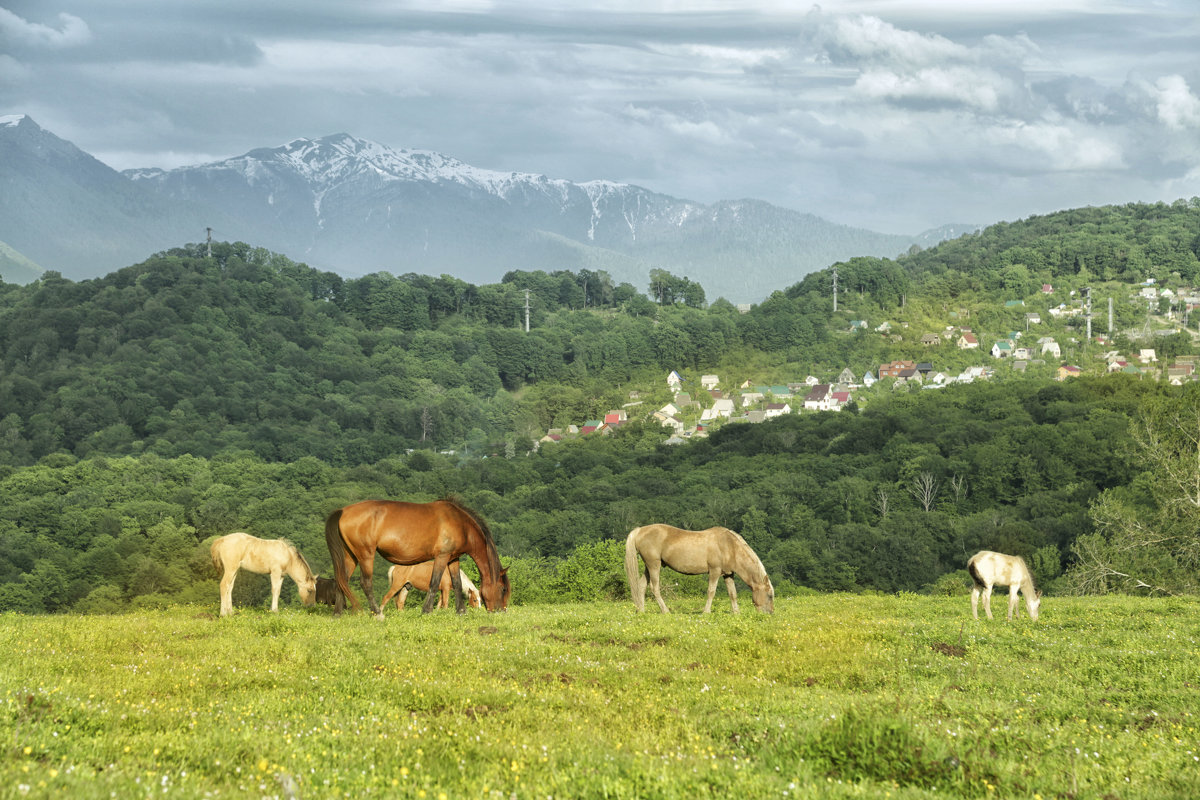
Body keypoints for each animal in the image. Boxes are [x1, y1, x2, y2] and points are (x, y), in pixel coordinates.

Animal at [321, 496, 508, 618]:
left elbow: (456, 583)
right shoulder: (442, 556)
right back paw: (377, 614)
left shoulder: (453, 558)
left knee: (342, 580)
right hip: (365, 554)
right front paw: (427, 610)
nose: (501, 610)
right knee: (365, 583)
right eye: (503, 589)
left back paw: (337, 614)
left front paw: (461, 611)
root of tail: (342, 511)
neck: (460, 523)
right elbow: (434, 583)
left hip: (350, 556)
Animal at [624, 525, 772, 614]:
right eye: (770, 595)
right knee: (654, 588)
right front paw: (706, 612)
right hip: (654, 565)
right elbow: (711, 592)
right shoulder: (714, 571)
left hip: (649, 566)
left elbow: (732, 594)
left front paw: (736, 613)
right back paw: (666, 611)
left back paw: (641, 611)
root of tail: (640, 530)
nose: (770, 613)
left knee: (641, 586)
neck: (729, 546)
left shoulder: (728, 574)